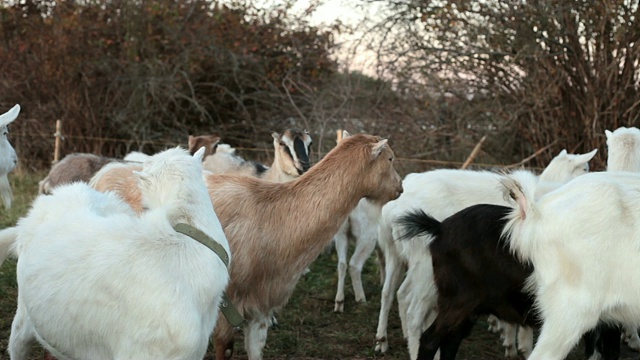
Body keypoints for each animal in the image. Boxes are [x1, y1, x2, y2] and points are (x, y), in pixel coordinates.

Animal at [87, 131, 402, 358]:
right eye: (389, 159)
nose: (400, 188)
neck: (274, 216)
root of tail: (105, 172)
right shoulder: (226, 308)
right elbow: (224, 350)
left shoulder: (262, 307)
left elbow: (255, 350)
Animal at [372, 148, 596, 358]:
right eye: (585, 168)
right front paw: (518, 345)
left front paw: (509, 339)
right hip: (426, 268)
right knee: (414, 310)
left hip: (396, 254)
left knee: (391, 292)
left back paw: (383, 340)